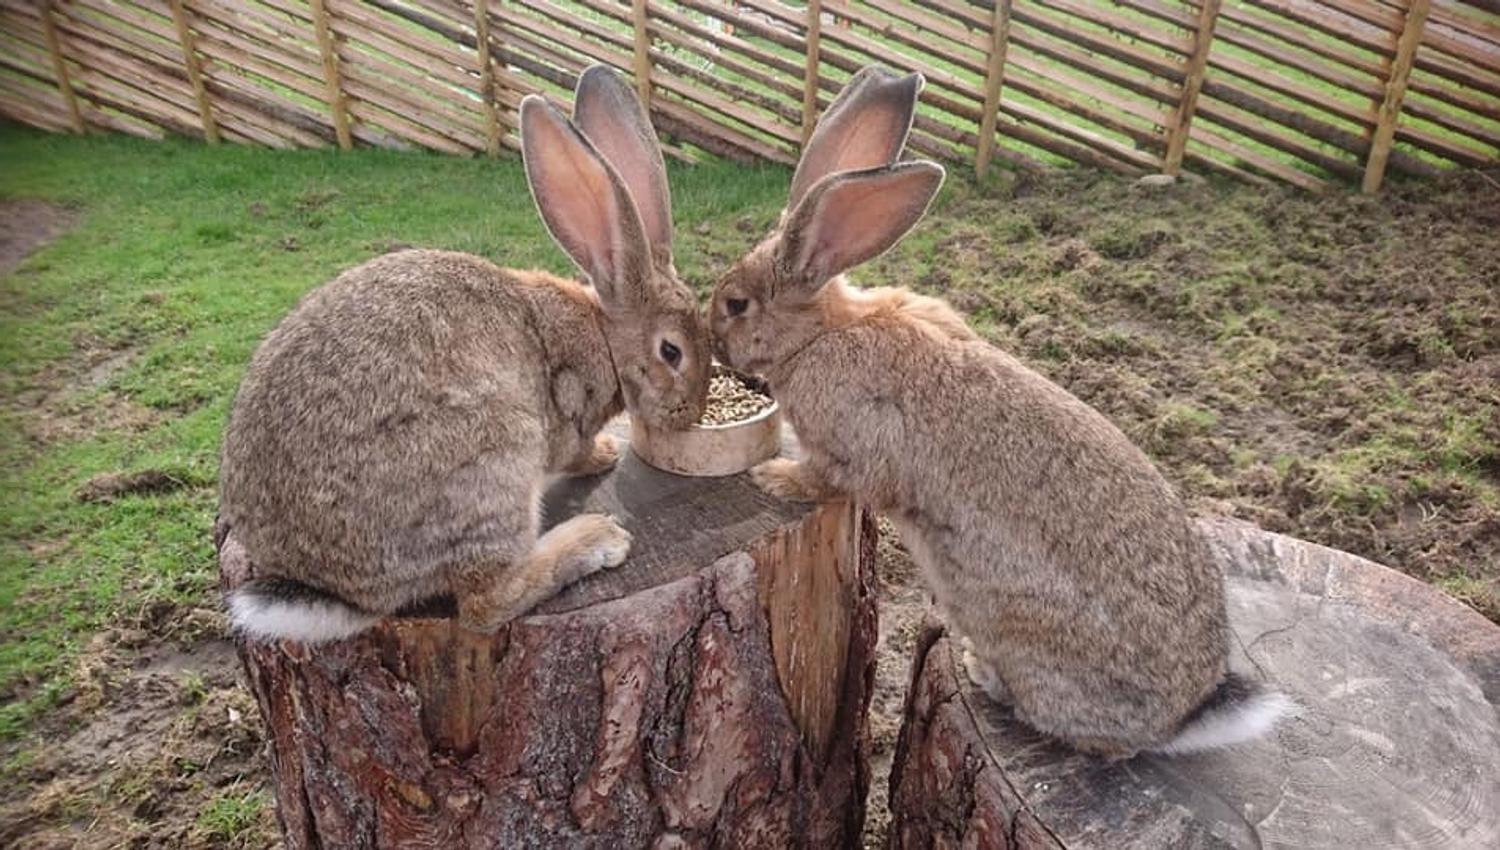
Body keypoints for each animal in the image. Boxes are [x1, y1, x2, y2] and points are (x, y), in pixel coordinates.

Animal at [219, 65, 710, 644]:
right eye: (671, 352)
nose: (691, 414)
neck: (603, 335)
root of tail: (331, 588)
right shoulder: (565, 415)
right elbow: (575, 451)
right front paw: (607, 453)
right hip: (493, 458)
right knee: (484, 603)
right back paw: (595, 539)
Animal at [708, 66, 1289, 758]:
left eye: (737, 305)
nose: (712, 340)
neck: (822, 331)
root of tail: (1187, 716)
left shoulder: (856, 446)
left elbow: (831, 478)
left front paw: (773, 478)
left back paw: (984, 674)